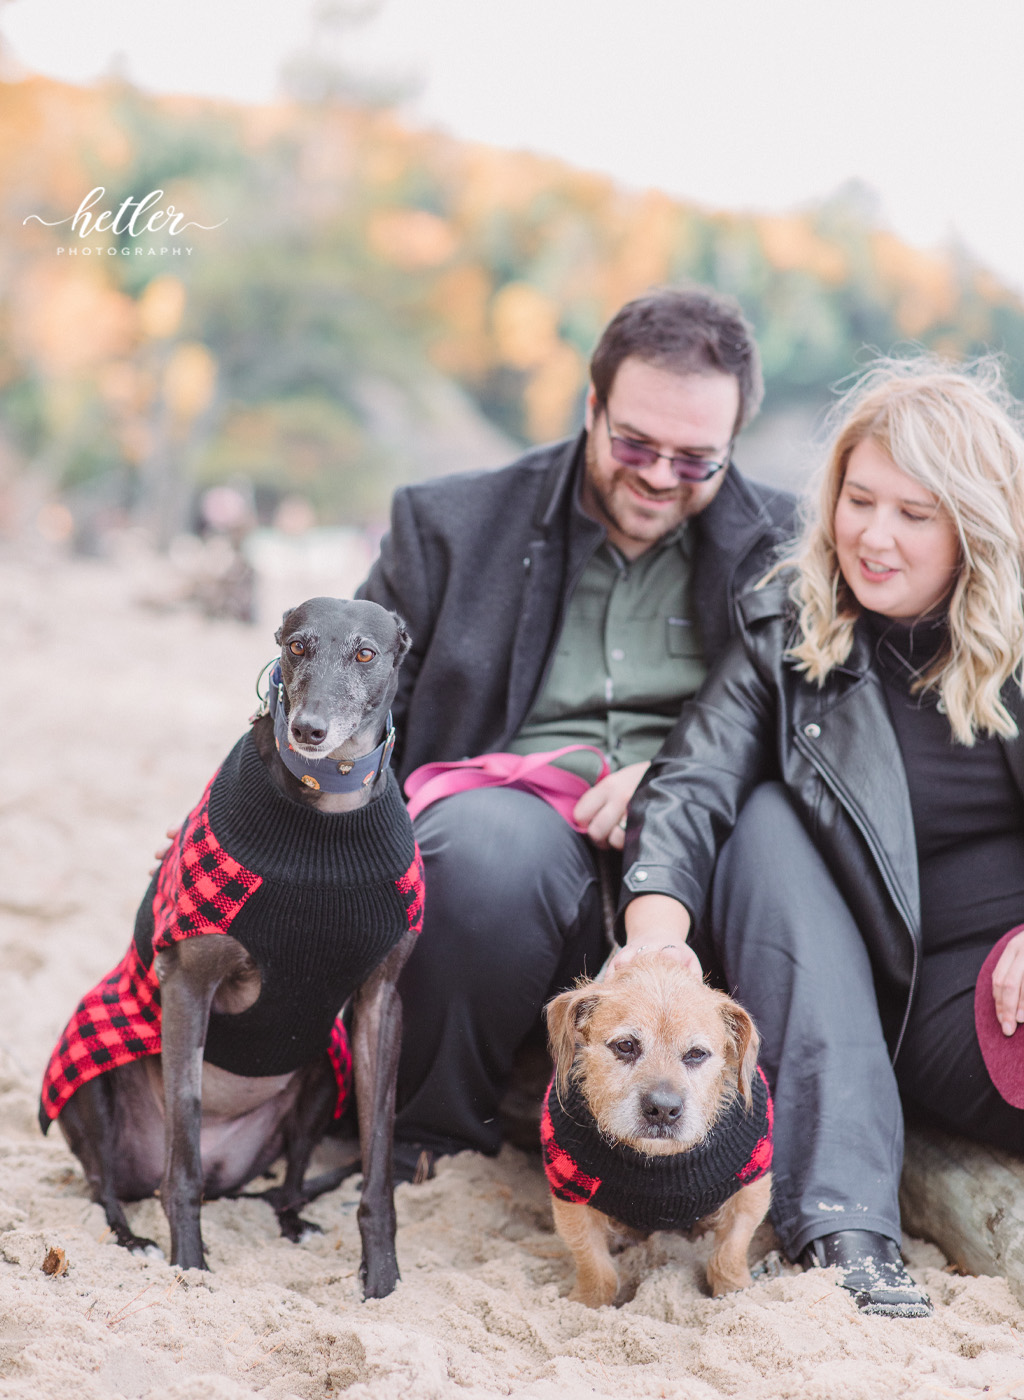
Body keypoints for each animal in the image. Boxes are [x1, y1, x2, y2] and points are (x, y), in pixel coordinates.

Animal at [543, 957, 767, 1304]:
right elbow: (594, 1264)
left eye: (696, 1054)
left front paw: (735, 1293)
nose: (663, 1109)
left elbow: (729, 1252)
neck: (658, 1161)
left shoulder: (751, 1191)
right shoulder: (572, 1200)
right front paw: (587, 1303)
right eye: (625, 1046)